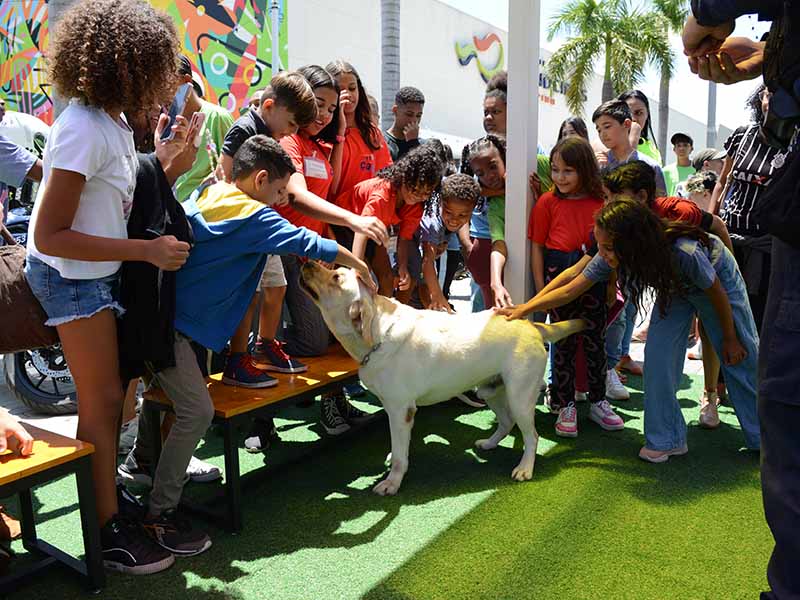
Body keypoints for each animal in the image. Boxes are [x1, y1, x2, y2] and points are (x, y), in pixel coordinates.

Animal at [298, 264, 580, 494]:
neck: (376, 335)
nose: (306, 262)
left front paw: (392, 483)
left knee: (532, 436)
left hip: (519, 397)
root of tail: (532, 325)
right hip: (490, 391)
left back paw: (525, 468)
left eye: (336, 277)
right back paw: (489, 444)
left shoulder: (400, 410)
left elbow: (400, 456)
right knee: (507, 422)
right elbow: (398, 447)